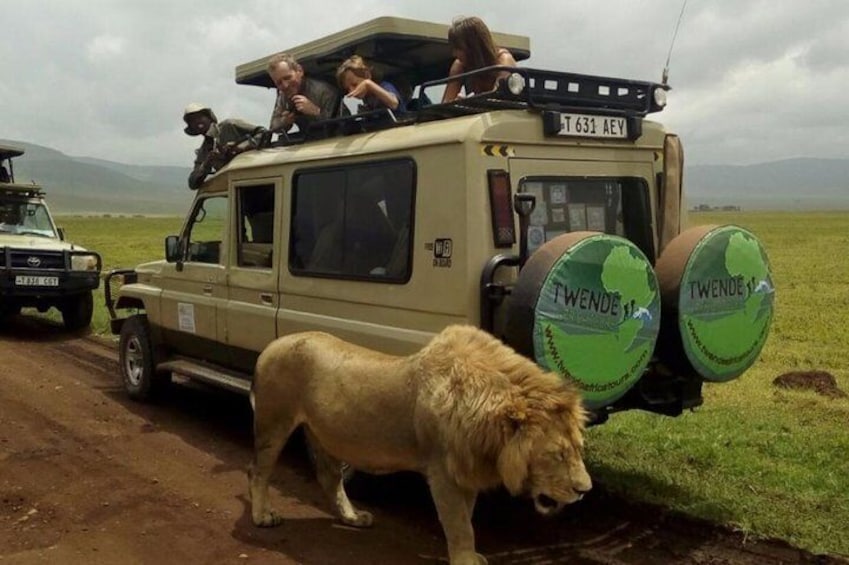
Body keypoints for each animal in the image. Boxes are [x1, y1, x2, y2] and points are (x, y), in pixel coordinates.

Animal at [247, 324, 588, 560]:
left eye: (579, 448)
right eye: (557, 454)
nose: (585, 490)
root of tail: (271, 344)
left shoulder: (465, 471)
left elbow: (466, 517)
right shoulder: (443, 472)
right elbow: (459, 524)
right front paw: (467, 560)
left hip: (325, 434)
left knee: (329, 478)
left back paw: (353, 517)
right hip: (273, 423)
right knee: (258, 471)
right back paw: (262, 516)